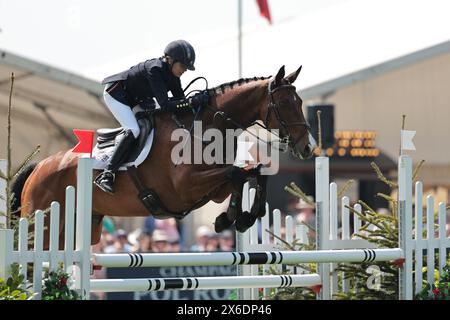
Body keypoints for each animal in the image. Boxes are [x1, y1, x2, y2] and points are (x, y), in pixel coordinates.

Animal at [13, 65, 316, 248]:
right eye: (285, 103)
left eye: (300, 102)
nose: (307, 148)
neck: (206, 125)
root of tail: (39, 167)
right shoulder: (184, 188)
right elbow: (237, 172)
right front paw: (232, 218)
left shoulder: (211, 190)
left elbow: (252, 172)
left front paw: (240, 218)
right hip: (43, 223)